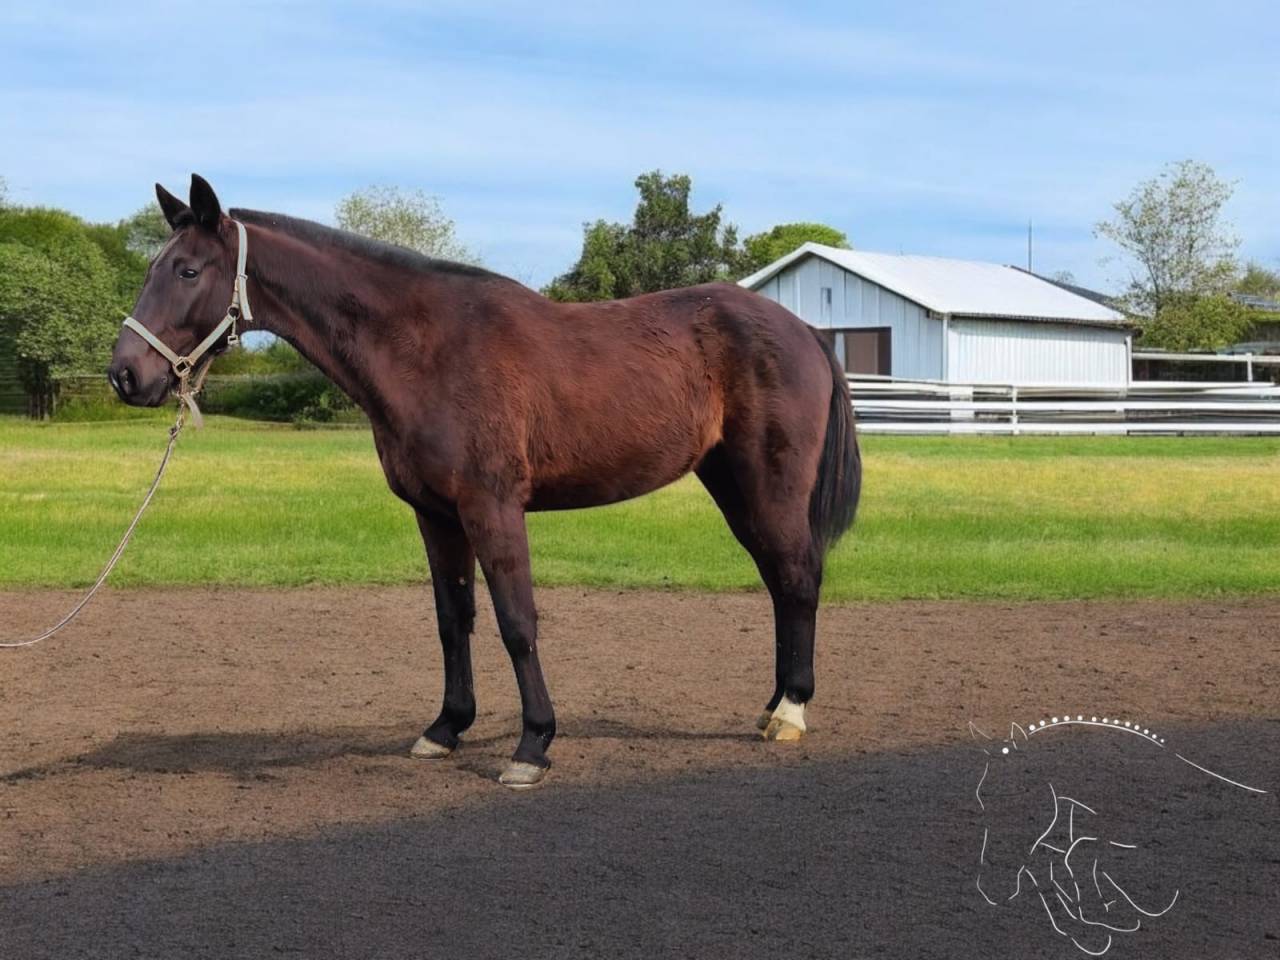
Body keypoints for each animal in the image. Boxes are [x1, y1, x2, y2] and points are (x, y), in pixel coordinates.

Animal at [108, 174, 861, 789]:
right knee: (780, 582)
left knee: (797, 579)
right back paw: (773, 707)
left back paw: (791, 712)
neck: (427, 347)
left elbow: (515, 622)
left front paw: (533, 746)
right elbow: (453, 620)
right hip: (730, 482)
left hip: (768, 484)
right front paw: (446, 728)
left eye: (186, 269)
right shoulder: (436, 514)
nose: (125, 375)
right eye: (156, 267)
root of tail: (806, 331)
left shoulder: (492, 507)